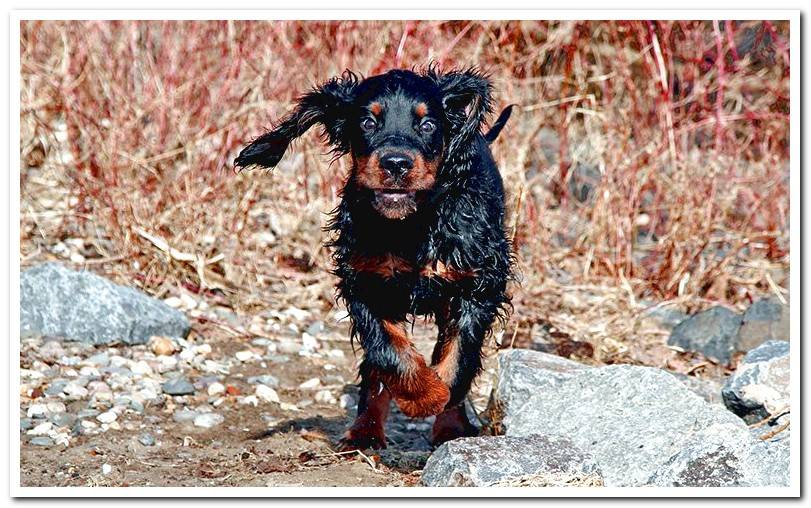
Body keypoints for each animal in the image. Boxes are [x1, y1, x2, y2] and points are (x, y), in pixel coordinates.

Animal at [236, 66, 512, 448]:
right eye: (367, 122)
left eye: (428, 125)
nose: (396, 164)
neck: (409, 224)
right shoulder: (364, 281)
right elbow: (388, 351)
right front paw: (422, 395)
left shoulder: (479, 283)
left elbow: (459, 356)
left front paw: (442, 402)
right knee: (374, 368)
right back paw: (363, 433)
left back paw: (450, 428)